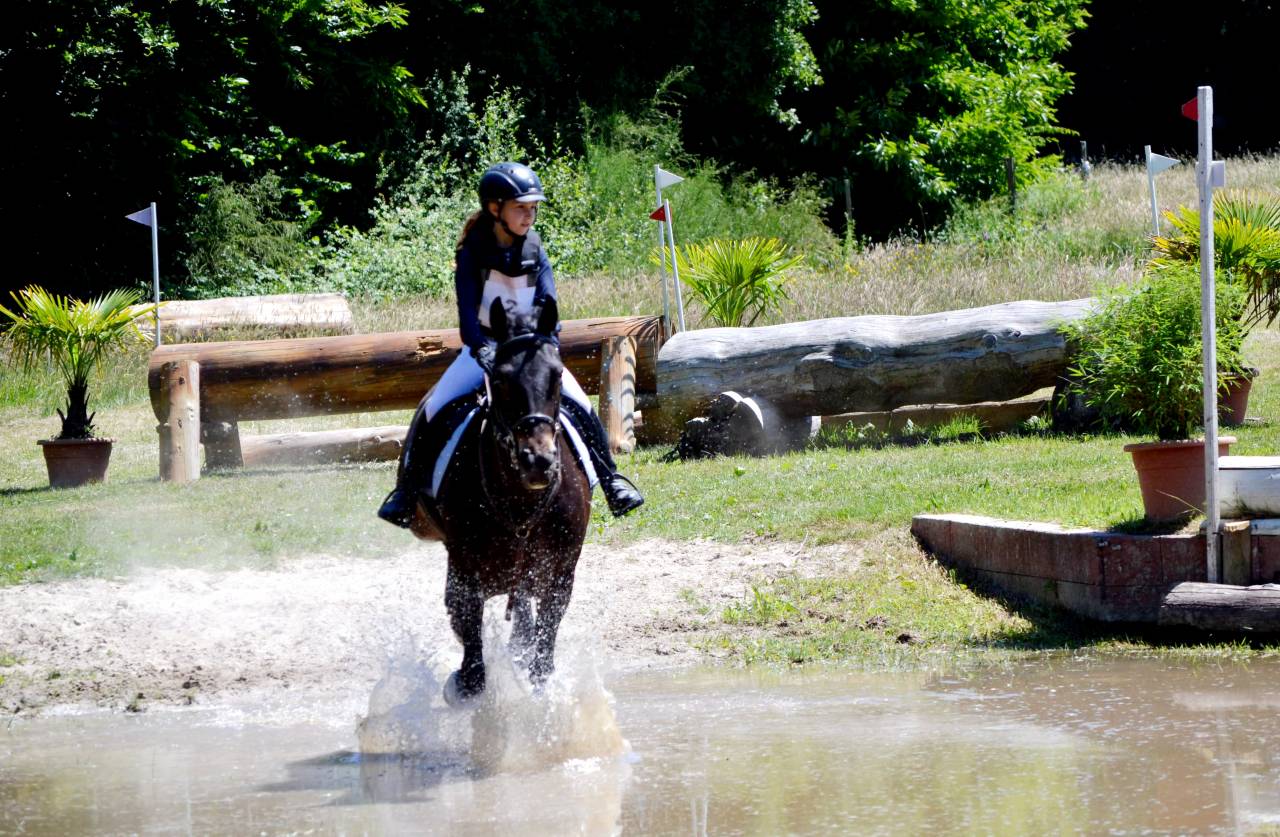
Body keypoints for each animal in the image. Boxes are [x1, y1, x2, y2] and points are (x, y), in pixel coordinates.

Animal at [409, 297, 592, 705]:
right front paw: (463, 686)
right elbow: (473, 664)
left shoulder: (560, 574)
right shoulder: (464, 572)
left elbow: (543, 659)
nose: (538, 461)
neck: (521, 501)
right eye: (502, 380)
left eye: (557, 375)